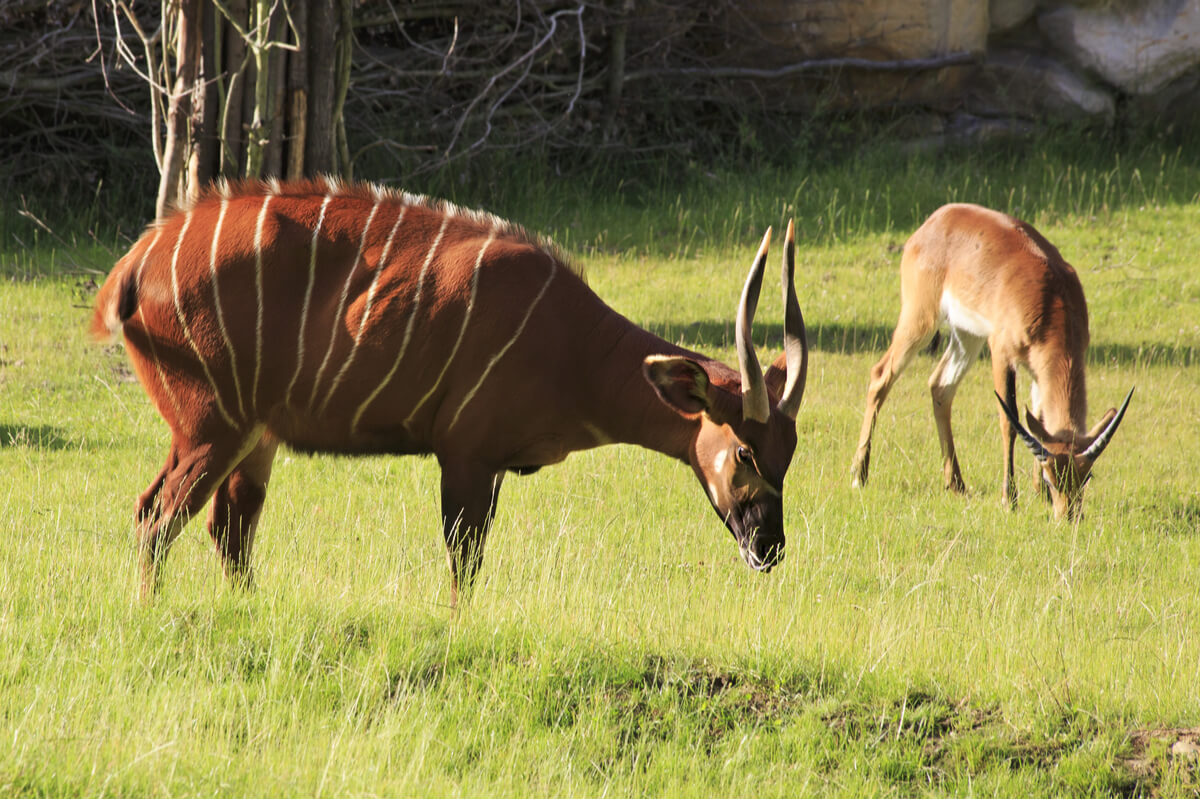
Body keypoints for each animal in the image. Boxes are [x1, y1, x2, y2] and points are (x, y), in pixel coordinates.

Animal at [91, 178, 806, 604]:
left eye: (789, 455)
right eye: (745, 452)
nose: (769, 548)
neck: (575, 346)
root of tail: (137, 261)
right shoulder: (467, 456)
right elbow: (464, 562)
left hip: (253, 438)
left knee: (228, 529)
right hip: (211, 428)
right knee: (157, 516)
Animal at [849, 203, 1128, 522]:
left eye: (1086, 476)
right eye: (1051, 477)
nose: (1069, 516)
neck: (1051, 300)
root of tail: (936, 218)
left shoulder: (1038, 368)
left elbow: (1039, 422)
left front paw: (1039, 497)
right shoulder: (1001, 352)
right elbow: (1010, 420)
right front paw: (1010, 500)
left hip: (966, 335)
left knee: (940, 386)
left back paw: (956, 484)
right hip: (920, 319)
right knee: (880, 375)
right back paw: (859, 475)